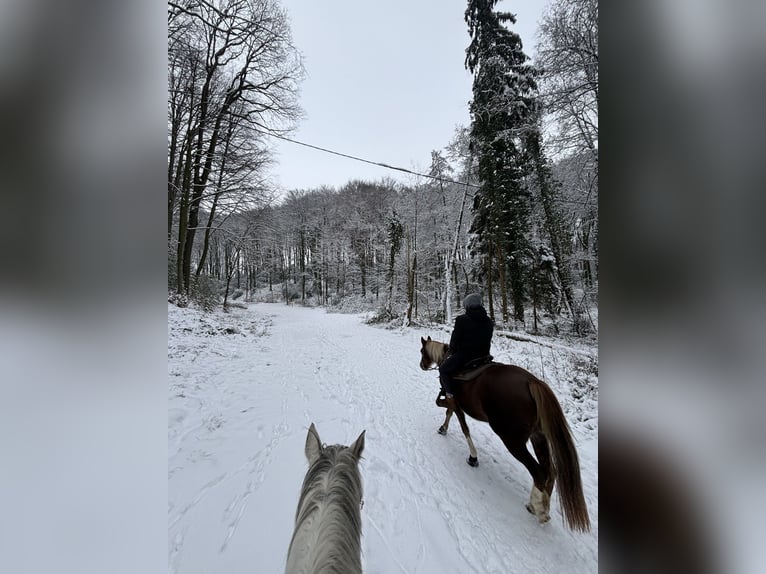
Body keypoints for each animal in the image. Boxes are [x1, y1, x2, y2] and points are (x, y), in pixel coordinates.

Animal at [420, 338, 592, 536]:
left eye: (422, 351)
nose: (422, 365)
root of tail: (532, 382)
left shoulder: (454, 402)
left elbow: (462, 426)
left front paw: (473, 457)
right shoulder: (455, 403)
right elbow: (449, 413)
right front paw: (444, 429)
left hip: (512, 440)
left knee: (538, 471)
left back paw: (539, 509)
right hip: (538, 436)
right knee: (550, 470)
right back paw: (541, 505)